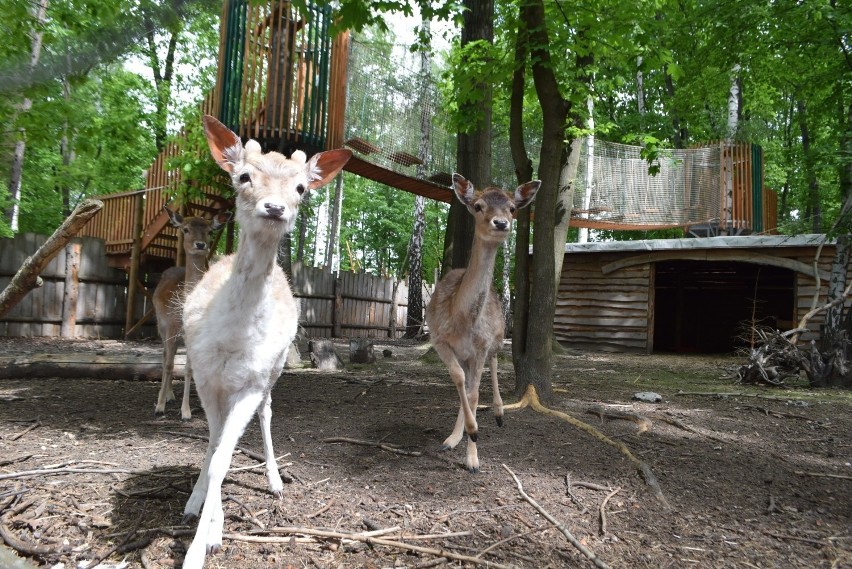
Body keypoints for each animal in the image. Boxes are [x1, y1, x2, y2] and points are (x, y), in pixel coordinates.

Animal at [151, 206, 228, 420]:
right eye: (185, 229)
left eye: (209, 231)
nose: (200, 244)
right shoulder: (171, 329)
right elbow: (169, 365)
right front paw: (159, 406)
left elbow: (189, 369)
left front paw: (185, 412)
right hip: (160, 325)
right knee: (164, 358)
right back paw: (164, 396)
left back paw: (170, 395)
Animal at [181, 115, 352, 568]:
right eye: (243, 176)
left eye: (301, 188)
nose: (274, 208)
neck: (232, 338)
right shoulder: (206, 377)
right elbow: (214, 448)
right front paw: (200, 509)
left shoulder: (252, 381)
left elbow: (224, 457)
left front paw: (202, 546)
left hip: (273, 372)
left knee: (267, 414)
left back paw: (275, 481)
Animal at [426, 172, 540, 470]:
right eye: (478, 206)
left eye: (512, 208)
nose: (500, 223)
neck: (462, 320)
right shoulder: (439, 339)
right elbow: (460, 383)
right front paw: (462, 435)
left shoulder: (481, 345)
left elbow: (476, 393)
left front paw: (473, 458)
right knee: (467, 382)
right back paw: (454, 437)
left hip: (497, 338)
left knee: (495, 361)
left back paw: (499, 413)